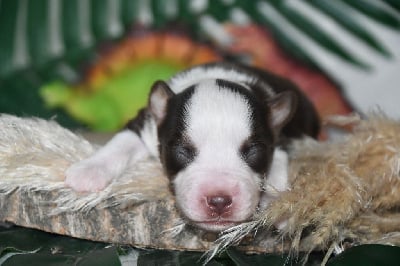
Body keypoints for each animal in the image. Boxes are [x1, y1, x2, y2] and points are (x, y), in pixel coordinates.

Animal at [65, 61, 322, 231]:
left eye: (253, 151)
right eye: (183, 150)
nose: (219, 201)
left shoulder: (282, 140)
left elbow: (277, 165)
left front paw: (278, 205)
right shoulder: (145, 123)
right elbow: (121, 143)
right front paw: (89, 170)